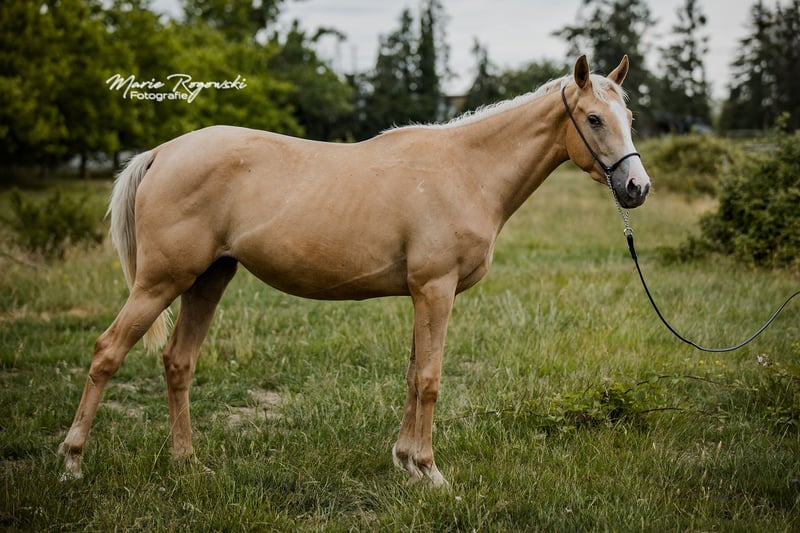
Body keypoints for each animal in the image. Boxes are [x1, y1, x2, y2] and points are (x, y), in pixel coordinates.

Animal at [59, 55, 650, 487]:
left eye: (629, 120)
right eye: (594, 119)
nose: (636, 188)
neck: (466, 170)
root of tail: (162, 152)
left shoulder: (422, 295)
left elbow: (413, 376)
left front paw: (406, 462)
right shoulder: (436, 290)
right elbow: (430, 379)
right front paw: (431, 472)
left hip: (209, 279)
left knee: (178, 362)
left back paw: (188, 464)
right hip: (160, 282)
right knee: (107, 352)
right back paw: (72, 462)